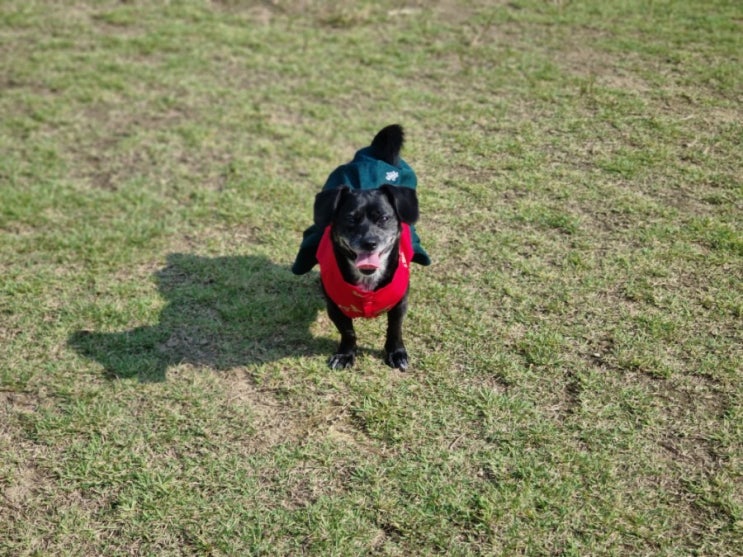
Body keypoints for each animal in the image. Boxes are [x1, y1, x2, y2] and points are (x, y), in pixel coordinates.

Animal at [312, 127, 422, 370]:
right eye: (350, 219)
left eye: (383, 218)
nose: (369, 242)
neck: (367, 280)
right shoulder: (335, 308)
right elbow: (348, 332)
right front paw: (345, 355)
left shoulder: (400, 305)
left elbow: (395, 330)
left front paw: (396, 353)